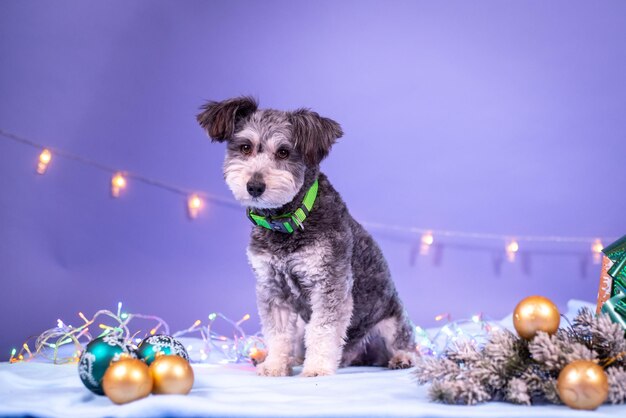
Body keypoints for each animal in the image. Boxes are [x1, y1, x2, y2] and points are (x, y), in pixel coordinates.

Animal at [195, 96, 414, 378]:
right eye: (245, 147)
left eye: (284, 152)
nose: (254, 186)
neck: (287, 224)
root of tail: (357, 355)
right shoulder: (272, 287)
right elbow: (278, 334)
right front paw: (275, 365)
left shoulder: (328, 283)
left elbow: (323, 330)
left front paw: (318, 368)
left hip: (391, 321)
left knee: (405, 343)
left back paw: (402, 358)